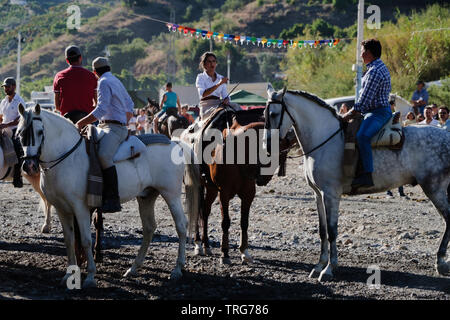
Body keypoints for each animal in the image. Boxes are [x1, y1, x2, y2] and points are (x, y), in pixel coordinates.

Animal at [17, 105, 200, 288]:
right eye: (20, 133)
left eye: (40, 131)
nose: (29, 165)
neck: (67, 157)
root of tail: (174, 143)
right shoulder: (61, 209)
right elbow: (69, 240)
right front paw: (69, 275)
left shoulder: (80, 208)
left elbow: (85, 240)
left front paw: (90, 276)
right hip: (146, 197)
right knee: (149, 228)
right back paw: (133, 268)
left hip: (171, 195)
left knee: (181, 226)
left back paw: (177, 269)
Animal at [264, 85, 450, 282]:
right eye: (264, 113)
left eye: (274, 114)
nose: (267, 145)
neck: (324, 138)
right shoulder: (318, 194)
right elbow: (322, 231)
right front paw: (319, 265)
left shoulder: (331, 194)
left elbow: (332, 231)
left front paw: (329, 269)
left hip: (434, 188)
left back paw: (441, 262)